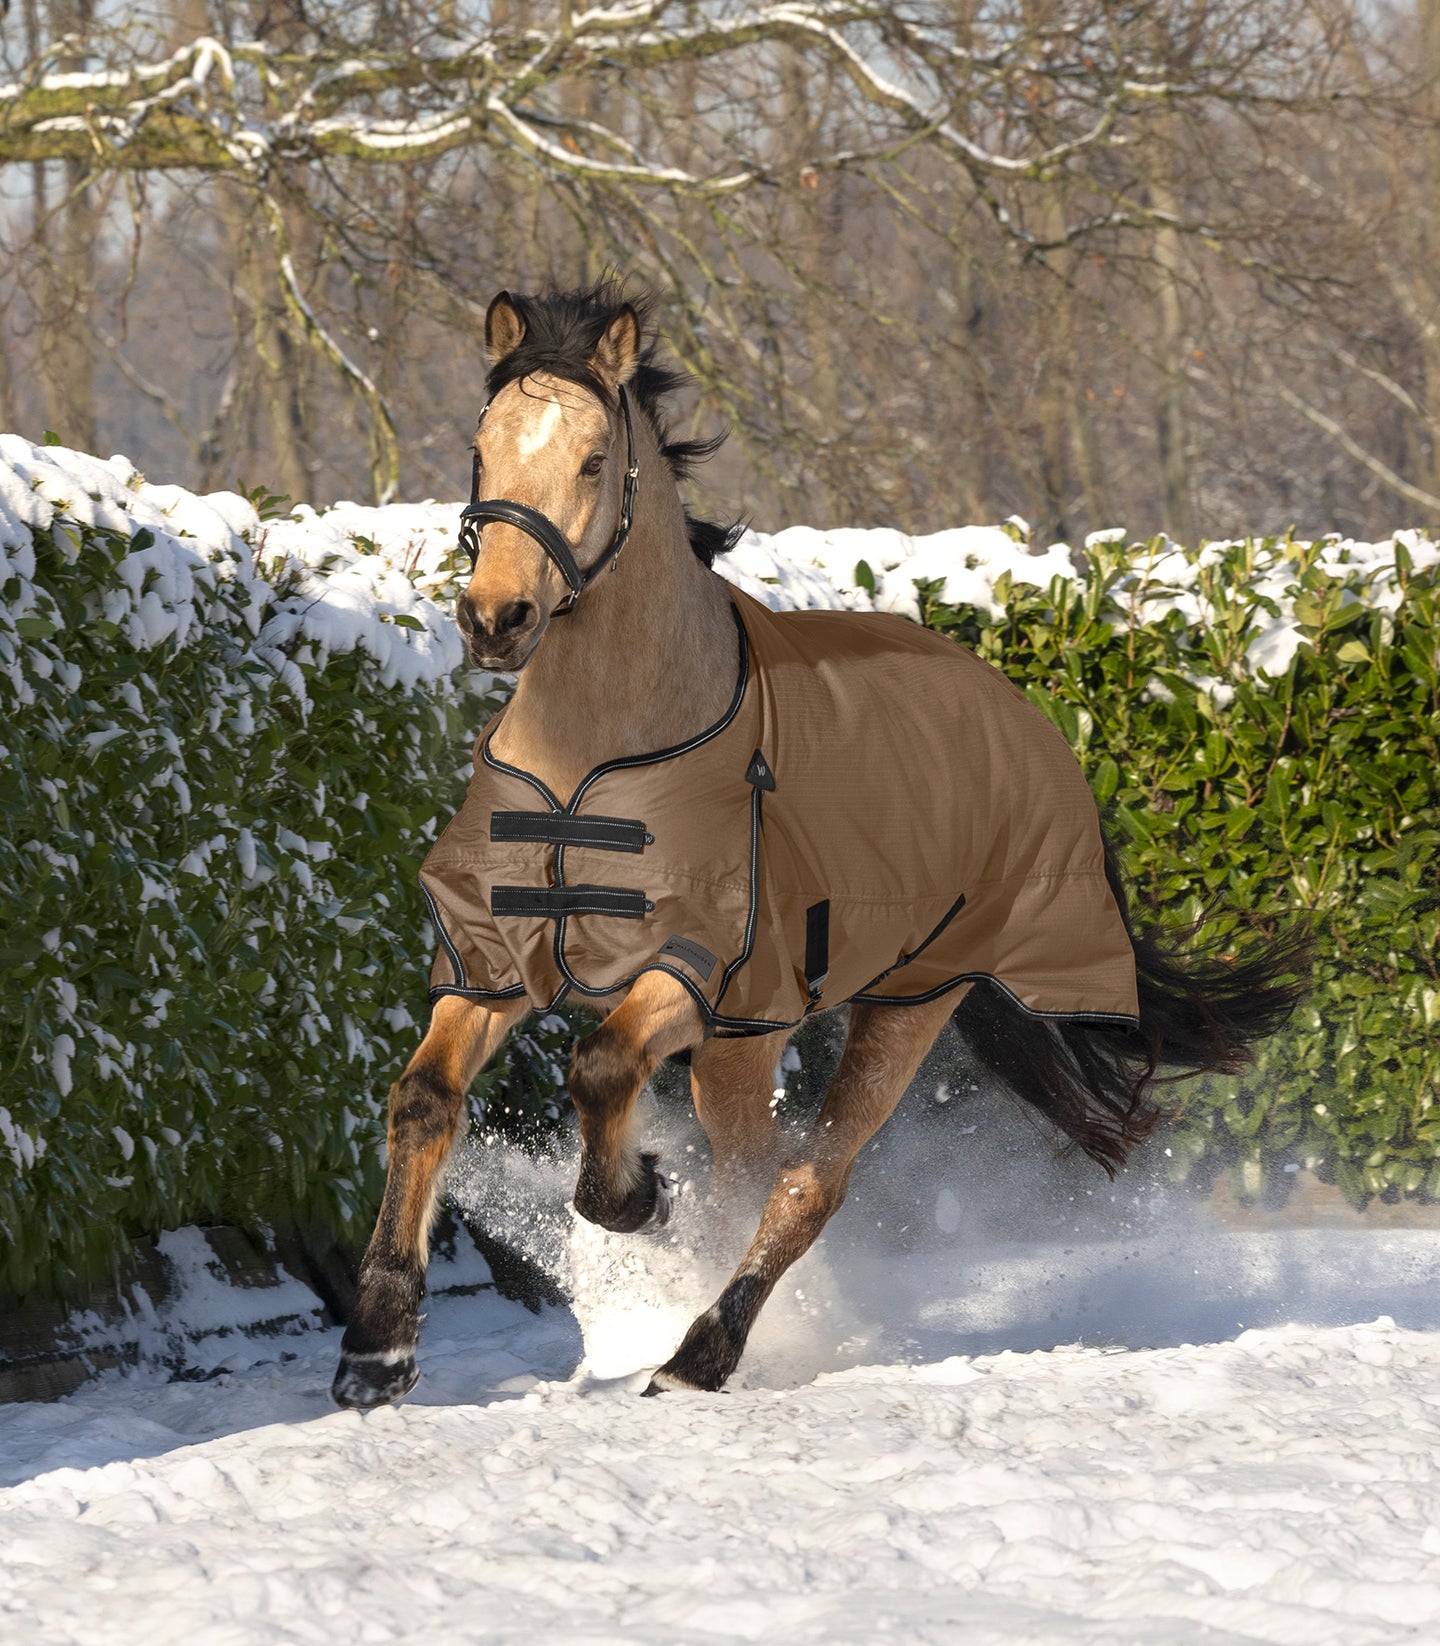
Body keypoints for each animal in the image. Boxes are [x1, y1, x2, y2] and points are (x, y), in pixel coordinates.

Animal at [332, 286, 1309, 1415]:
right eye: (481, 448)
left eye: (591, 459)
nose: (497, 617)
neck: (598, 752)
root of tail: (1020, 713)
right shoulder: (494, 961)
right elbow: (422, 1098)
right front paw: (376, 1348)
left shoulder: (700, 964)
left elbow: (601, 1063)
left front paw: (635, 1198)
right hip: (748, 1042)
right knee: (753, 1170)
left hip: (901, 1003)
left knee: (803, 1182)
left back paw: (702, 1349)